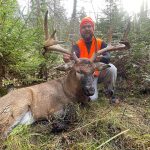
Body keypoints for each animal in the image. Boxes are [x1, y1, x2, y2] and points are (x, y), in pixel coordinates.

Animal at [0, 10, 129, 138]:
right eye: (78, 71)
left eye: (93, 71)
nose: (91, 90)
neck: (70, 92)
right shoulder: (53, 109)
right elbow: (67, 116)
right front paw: (55, 125)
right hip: (16, 106)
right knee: (4, 133)